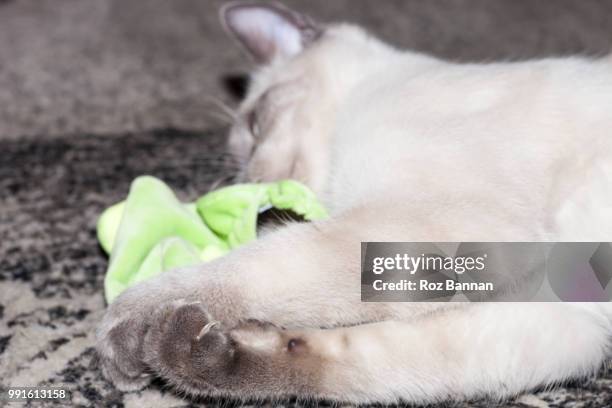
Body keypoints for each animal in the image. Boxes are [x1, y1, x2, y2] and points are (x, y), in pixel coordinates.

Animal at [97, 0, 612, 404]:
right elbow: (370, 365)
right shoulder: (573, 320)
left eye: (257, 124)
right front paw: (197, 353)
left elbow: (241, 270)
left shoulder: (424, 222)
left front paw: (125, 326)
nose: (254, 183)